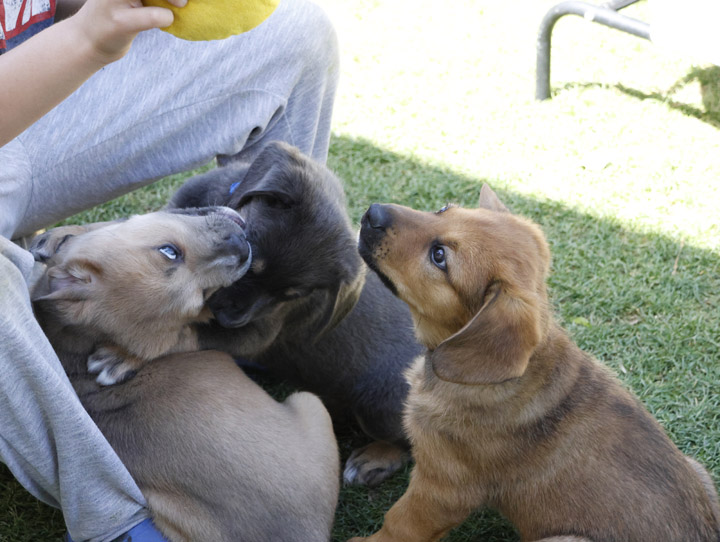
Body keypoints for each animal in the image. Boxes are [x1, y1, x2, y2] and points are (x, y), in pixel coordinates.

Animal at [170, 141, 422, 488]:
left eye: (291, 295)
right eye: (249, 260)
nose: (228, 318)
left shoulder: (256, 333)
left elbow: (192, 333)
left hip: (380, 402)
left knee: (414, 446)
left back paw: (373, 460)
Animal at [350, 185, 720, 540]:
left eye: (439, 256)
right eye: (443, 209)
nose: (372, 212)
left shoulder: (443, 487)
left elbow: (401, 522)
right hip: (699, 472)